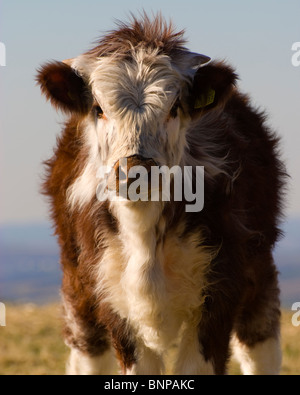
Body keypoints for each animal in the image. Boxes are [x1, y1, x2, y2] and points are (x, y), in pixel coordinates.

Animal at [37, 13, 286, 376]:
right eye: (99, 108)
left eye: (174, 108)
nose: (136, 167)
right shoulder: (112, 297)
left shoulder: (220, 293)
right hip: (77, 289)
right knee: (88, 352)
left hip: (260, 275)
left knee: (259, 347)